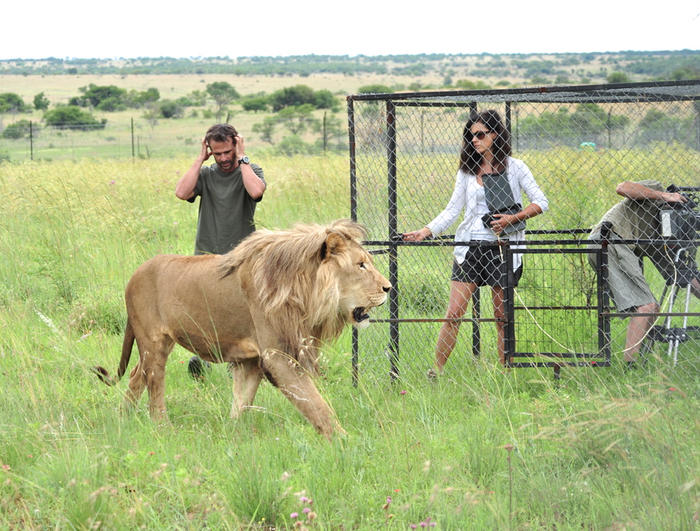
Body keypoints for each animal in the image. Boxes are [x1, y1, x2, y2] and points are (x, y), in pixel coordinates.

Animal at [96, 220, 394, 440]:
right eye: (361, 265)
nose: (389, 287)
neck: (304, 292)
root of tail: (134, 274)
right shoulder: (278, 355)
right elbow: (316, 404)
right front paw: (346, 441)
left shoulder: (252, 359)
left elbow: (242, 401)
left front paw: (233, 434)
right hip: (153, 342)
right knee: (154, 386)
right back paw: (162, 428)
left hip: (158, 344)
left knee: (137, 375)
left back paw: (123, 418)